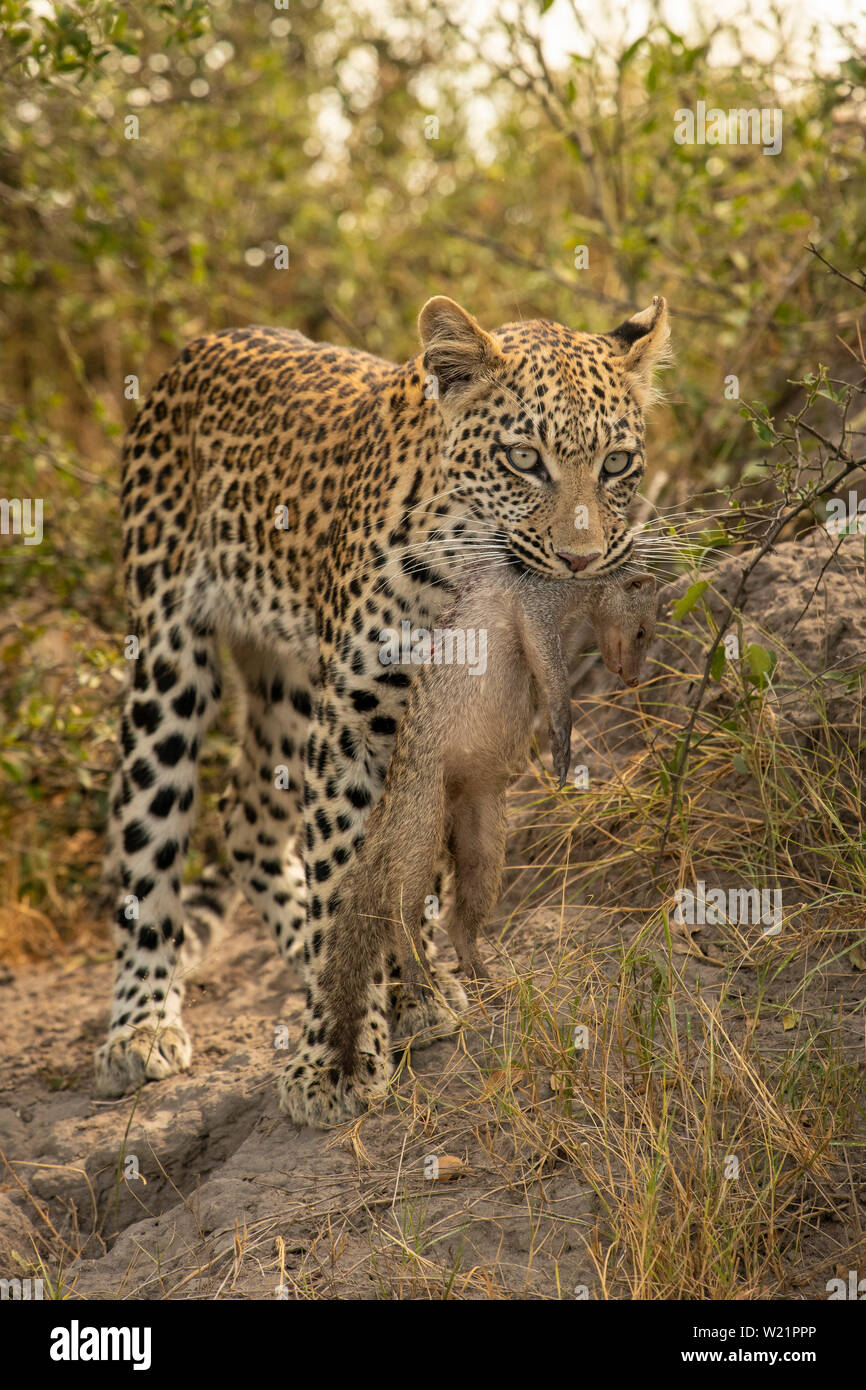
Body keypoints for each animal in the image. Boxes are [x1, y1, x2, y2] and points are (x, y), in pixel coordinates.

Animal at [94, 293, 675, 1128]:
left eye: (618, 465)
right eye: (524, 459)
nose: (581, 560)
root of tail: (203, 344)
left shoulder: (428, 730)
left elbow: (403, 872)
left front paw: (411, 997)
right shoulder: (355, 723)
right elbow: (350, 878)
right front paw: (334, 1058)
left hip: (288, 678)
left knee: (249, 822)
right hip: (170, 652)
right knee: (152, 823)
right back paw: (140, 1026)